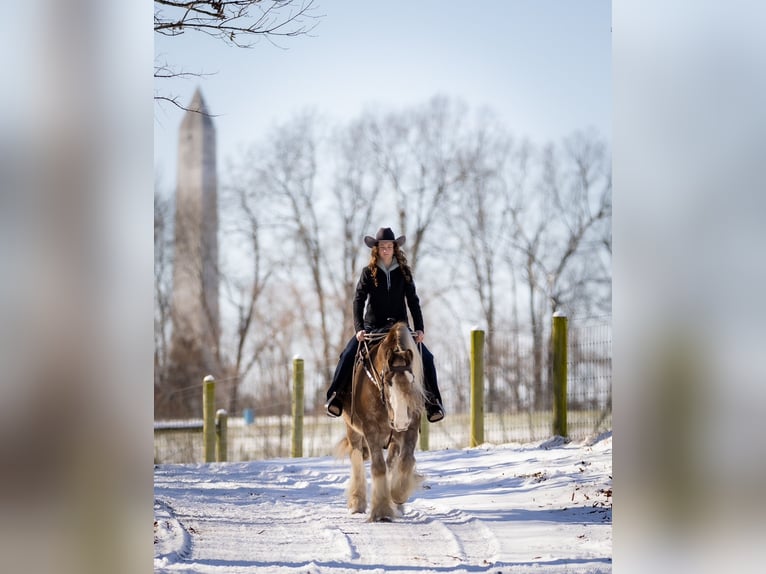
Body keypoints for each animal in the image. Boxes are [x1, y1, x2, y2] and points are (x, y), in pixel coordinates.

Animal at [334, 322, 426, 524]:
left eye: (412, 380)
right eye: (388, 382)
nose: (400, 421)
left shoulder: (411, 428)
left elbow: (405, 461)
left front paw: (398, 496)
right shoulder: (371, 430)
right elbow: (378, 467)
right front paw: (381, 511)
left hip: (393, 438)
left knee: (392, 462)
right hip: (353, 430)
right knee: (357, 458)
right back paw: (357, 503)